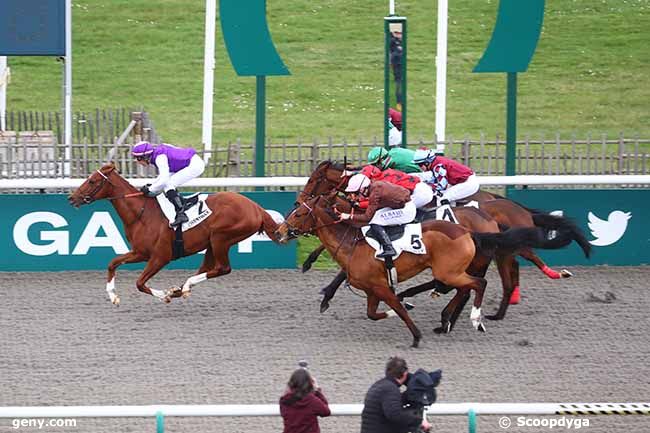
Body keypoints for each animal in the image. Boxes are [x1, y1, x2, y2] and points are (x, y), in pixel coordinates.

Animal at [67, 162, 278, 304]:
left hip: (221, 238)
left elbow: (139, 283)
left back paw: (183, 287)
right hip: (212, 243)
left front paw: (164, 295)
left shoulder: (160, 257)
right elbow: (112, 263)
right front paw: (113, 296)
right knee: (208, 268)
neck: (142, 214)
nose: (71, 198)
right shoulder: (140, 253)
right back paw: (181, 288)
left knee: (223, 268)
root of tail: (257, 208)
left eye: (92, 181)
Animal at [272, 192, 572, 348]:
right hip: (452, 270)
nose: (280, 231)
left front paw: (415, 334)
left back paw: (474, 318)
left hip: (450, 271)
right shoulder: (371, 289)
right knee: (469, 286)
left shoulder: (380, 286)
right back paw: (449, 319)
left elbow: (397, 307)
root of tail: (470, 232)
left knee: (477, 284)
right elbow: (373, 313)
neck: (353, 243)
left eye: (299, 213)